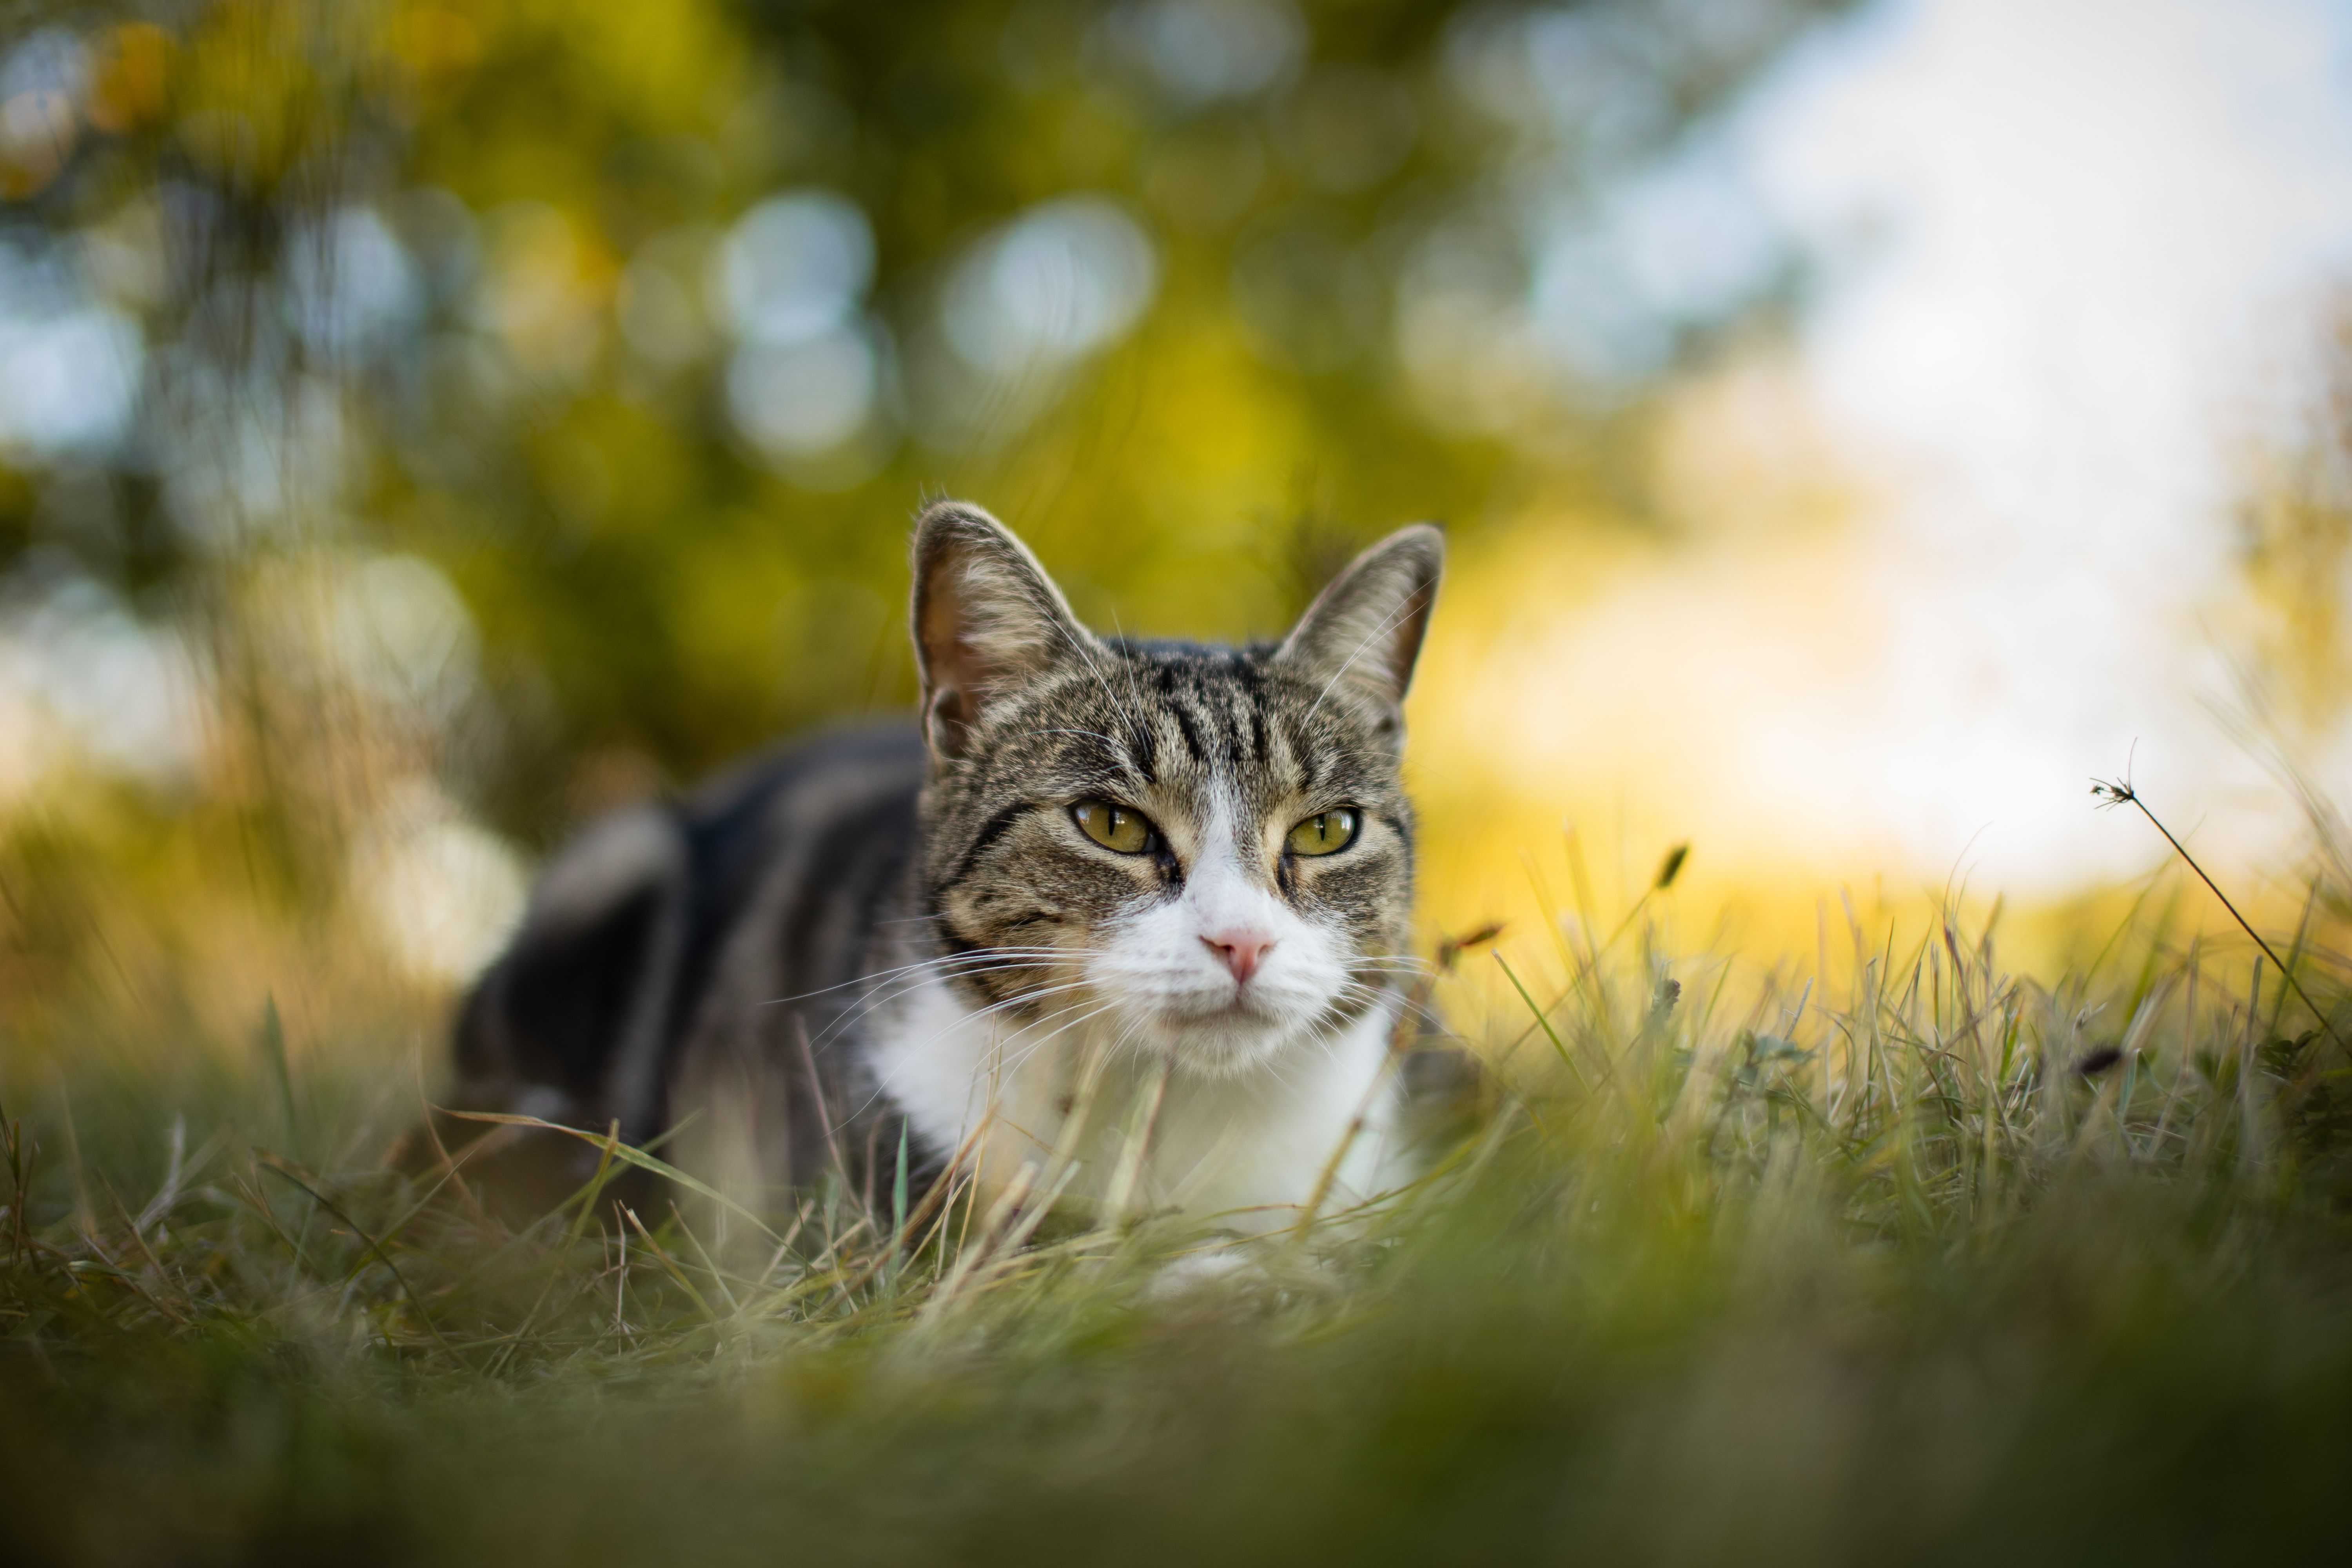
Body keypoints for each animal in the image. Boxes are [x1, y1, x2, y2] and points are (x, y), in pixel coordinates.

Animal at [414, 503, 1458, 1241]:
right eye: (1112, 823)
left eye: (1325, 831)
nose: (1240, 941)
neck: (1176, 1116)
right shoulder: (850, 1194)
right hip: (618, 861)